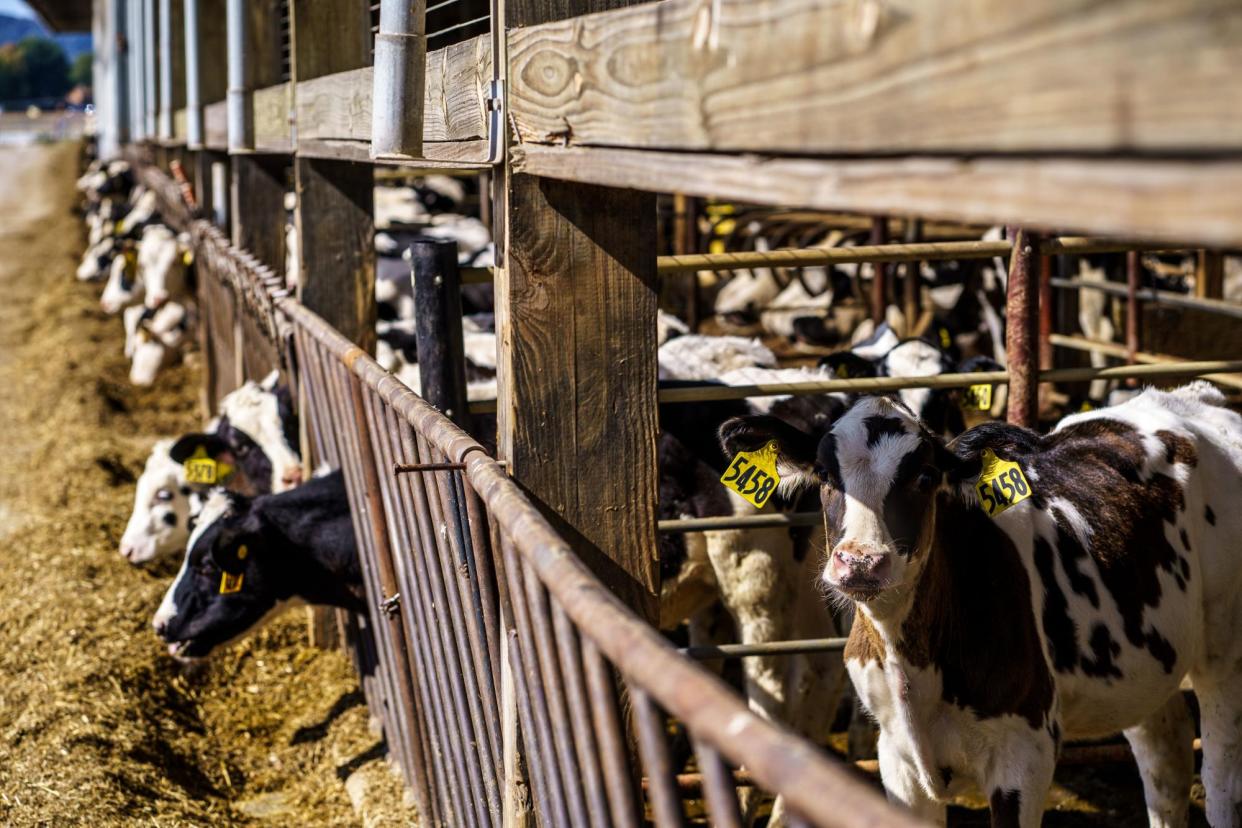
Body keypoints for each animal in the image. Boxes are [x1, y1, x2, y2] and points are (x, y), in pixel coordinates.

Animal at [720, 384, 1242, 824]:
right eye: (827, 475)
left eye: (925, 477)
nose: (862, 563)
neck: (914, 662)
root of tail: (1193, 395)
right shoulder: (896, 758)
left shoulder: (1025, 751)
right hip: (1146, 663)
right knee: (1166, 761)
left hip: (1224, 653)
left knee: (1220, 777)